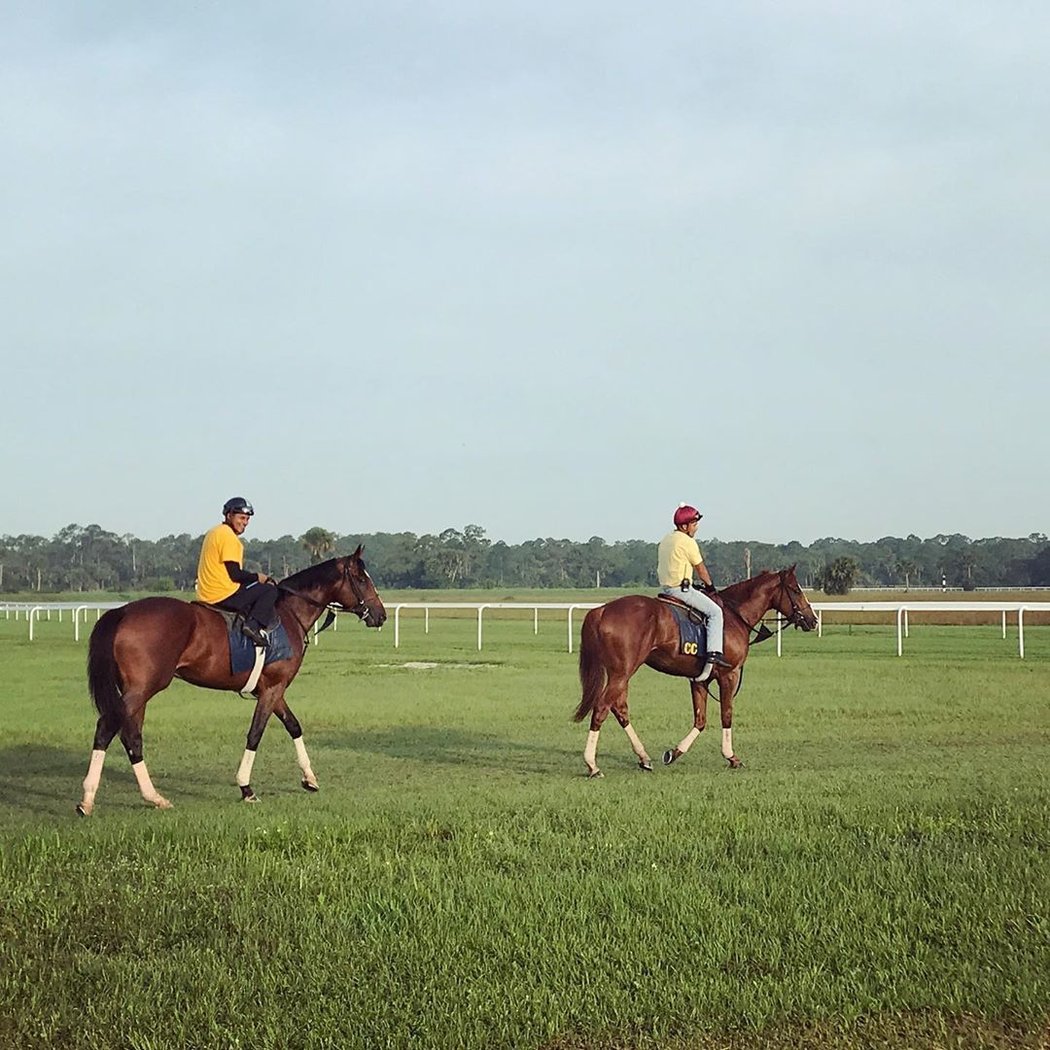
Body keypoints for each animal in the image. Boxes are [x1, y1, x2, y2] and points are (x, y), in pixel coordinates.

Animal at [76, 546, 386, 814]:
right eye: (361, 579)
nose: (380, 615)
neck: (289, 614)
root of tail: (122, 611)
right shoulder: (272, 689)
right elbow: (255, 733)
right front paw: (246, 788)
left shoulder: (273, 689)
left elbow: (294, 726)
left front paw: (309, 778)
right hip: (142, 690)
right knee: (106, 728)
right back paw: (88, 798)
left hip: (138, 692)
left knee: (132, 736)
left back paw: (154, 797)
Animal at [571, 567, 814, 781]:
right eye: (795, 589)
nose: (813, 620)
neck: (734, 616)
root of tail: (601, 610)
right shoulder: (729, 675)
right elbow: (726, 714)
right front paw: (732, 757)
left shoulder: (700, 680)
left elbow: (700, 719)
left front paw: (674, 752)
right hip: (622, 673)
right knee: (602, 707)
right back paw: (592, 765)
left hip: (621, 674)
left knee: (619, 708)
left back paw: (643, 757)